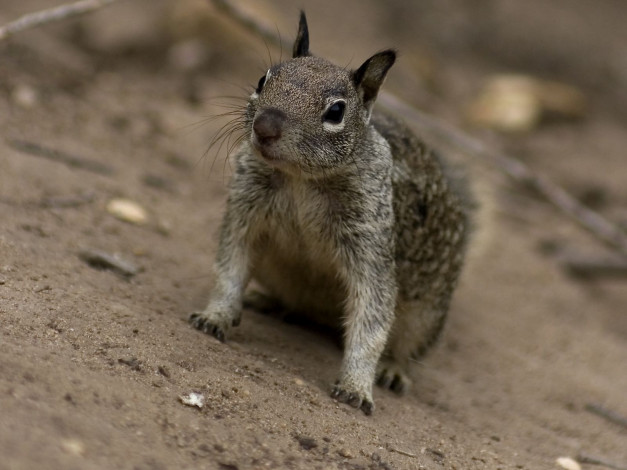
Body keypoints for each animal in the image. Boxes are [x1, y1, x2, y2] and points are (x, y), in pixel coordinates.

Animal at [189, 11, 474, 414]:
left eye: (336, 111)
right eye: (263, 79)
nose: (265, 126)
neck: (301, 180)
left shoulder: (371, 244)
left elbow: (372, 318)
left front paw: (356, 386)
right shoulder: (245, 212)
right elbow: (229, 269)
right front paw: (215, 316)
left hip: (426, 315)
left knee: (407, 347)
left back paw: (393, 369)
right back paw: (269, 302)